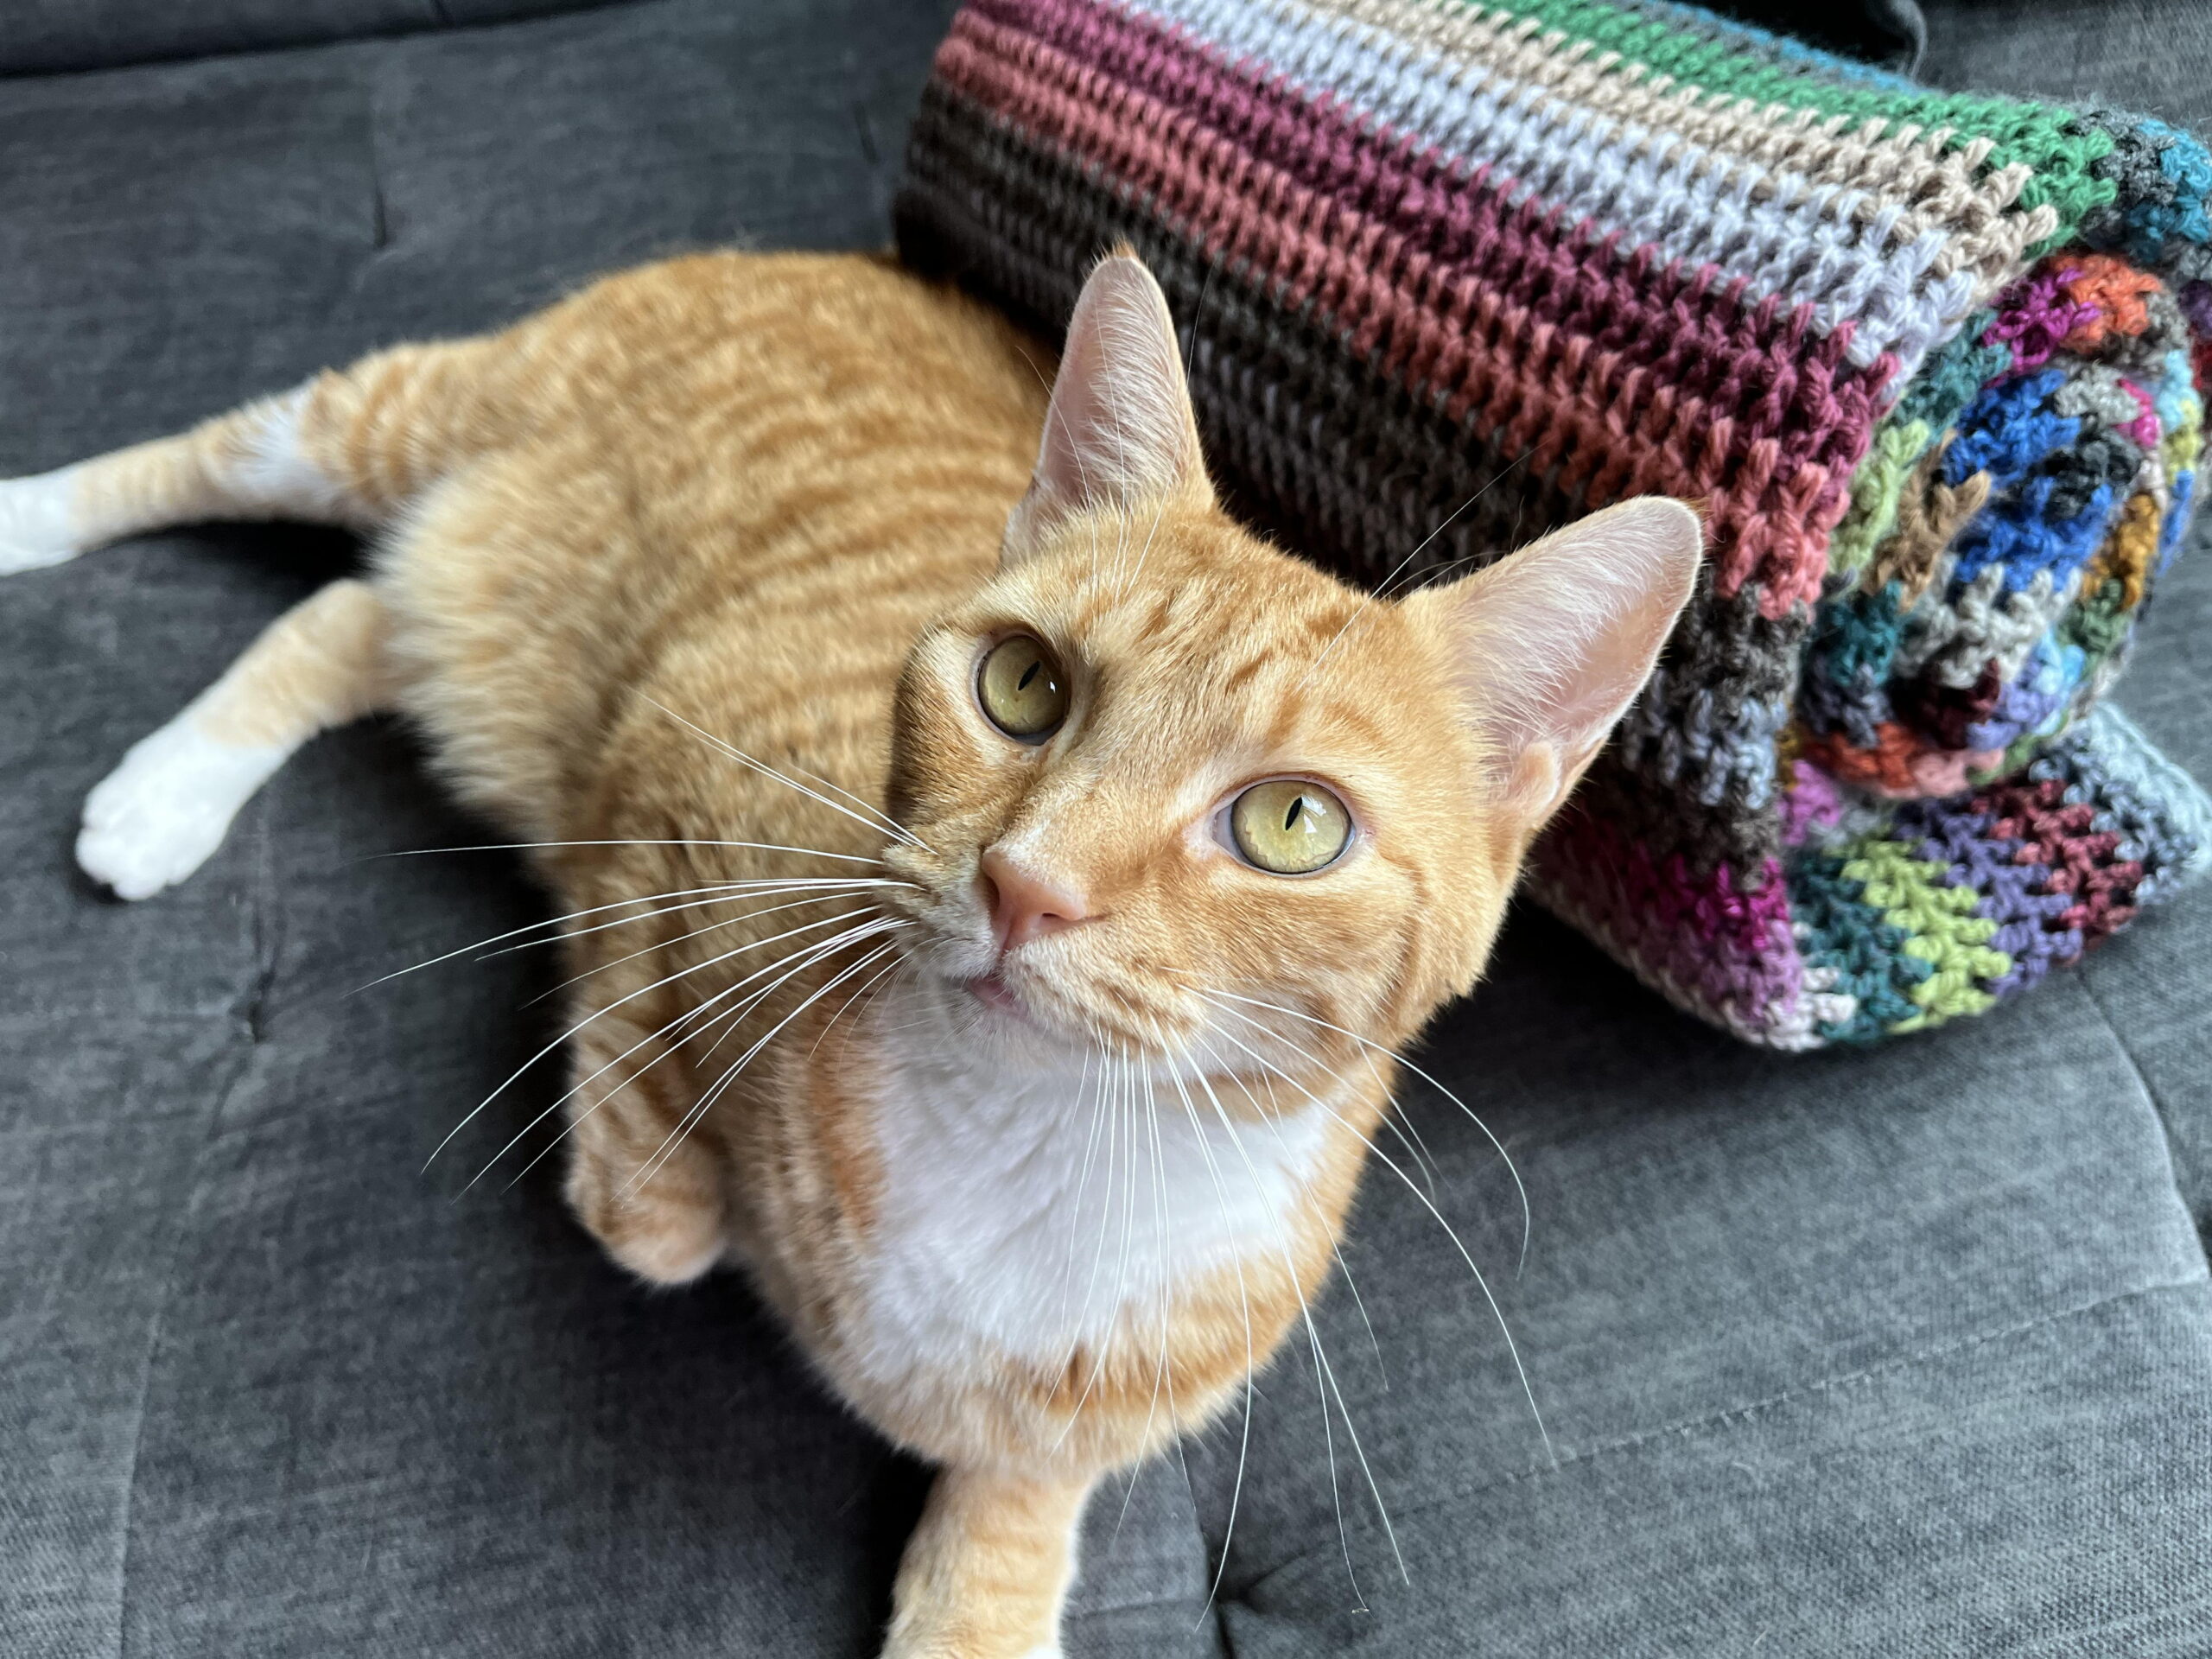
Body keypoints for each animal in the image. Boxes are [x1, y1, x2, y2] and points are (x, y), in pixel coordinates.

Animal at [0, 250, 1699, 1659]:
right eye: (1023, 686)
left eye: (1292, 824)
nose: (1027, 885)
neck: (1034, 1145)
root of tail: (847, 256)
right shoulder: (660, 792)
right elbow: (651, 1180)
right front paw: (680, 1188)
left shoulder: (1085, 1420)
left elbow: (1012, 1512)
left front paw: (977, 1598)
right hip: (399, 427)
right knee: (262, 492)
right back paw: (59, 584)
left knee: (359, 615)